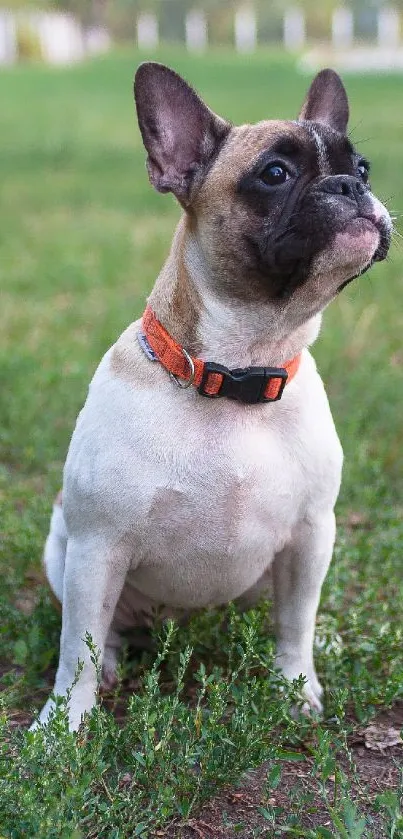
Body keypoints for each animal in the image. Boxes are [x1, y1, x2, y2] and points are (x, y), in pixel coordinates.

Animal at [33, 62, 392, 728]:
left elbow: (296, 623)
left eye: (363, 168)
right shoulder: (97, 548)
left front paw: (296, 687)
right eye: (274, 174)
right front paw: (63, 724)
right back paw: (115, 663)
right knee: (103, 632)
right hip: (63, 551)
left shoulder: (312, 535)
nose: (350, 187)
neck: (240, 369)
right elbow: (77, 648)